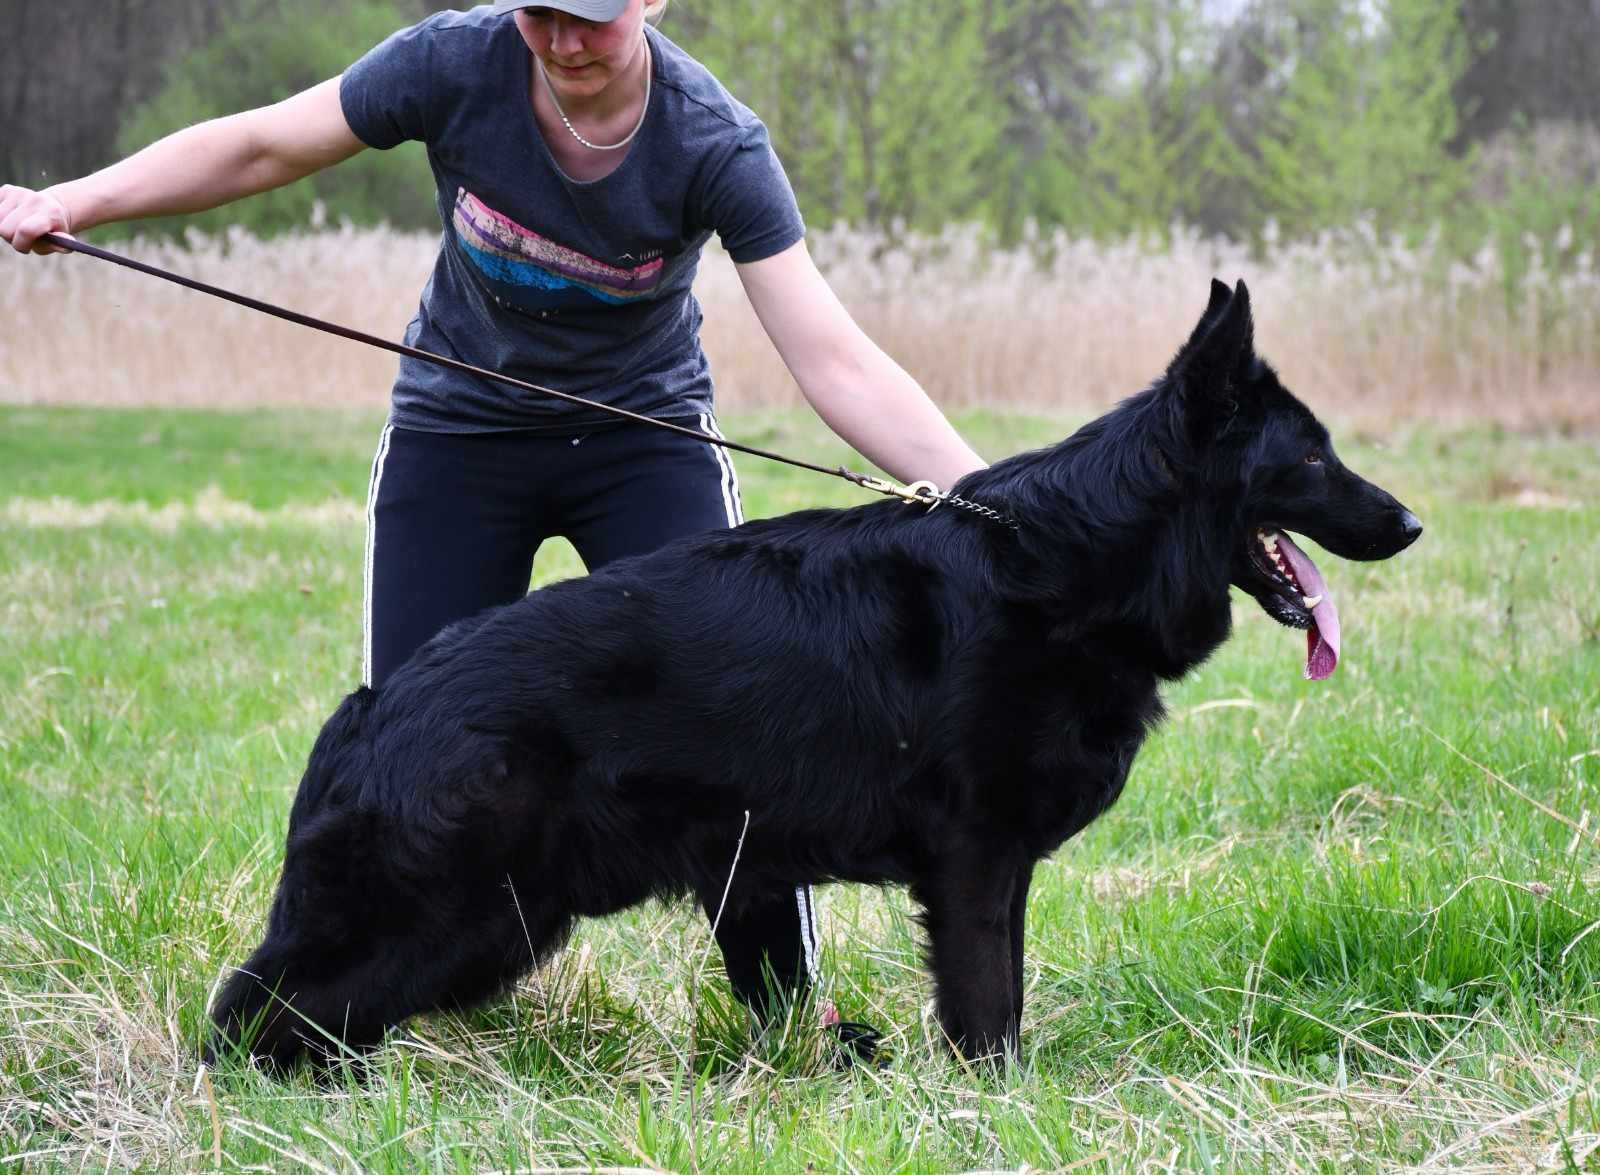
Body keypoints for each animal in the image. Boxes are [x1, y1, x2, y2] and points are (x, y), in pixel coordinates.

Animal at [209, 280, 1427, 1069]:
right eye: (1312, 454)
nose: (1413, 524)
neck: (1067, 565)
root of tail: (377, 704)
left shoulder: (996, 870)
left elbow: (1003, 991)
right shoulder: (972, 861)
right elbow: (987, 1004)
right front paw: (1000, 1105)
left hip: (487, 921)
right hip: (448, 915)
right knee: (251, 1006)